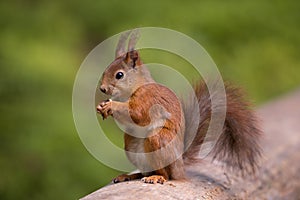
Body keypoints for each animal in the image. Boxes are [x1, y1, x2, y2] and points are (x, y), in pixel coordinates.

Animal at [96, 30, 260, 184]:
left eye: (119, 75)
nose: (102, 89)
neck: (136, 87)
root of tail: (179, 165)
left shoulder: (149, 99)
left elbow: (137, 114)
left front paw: (111, 105)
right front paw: (102, 106)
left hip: (158, 140)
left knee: (166, 175)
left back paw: (157, 177)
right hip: (131, 144)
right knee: (144, 171)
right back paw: (129, 176)